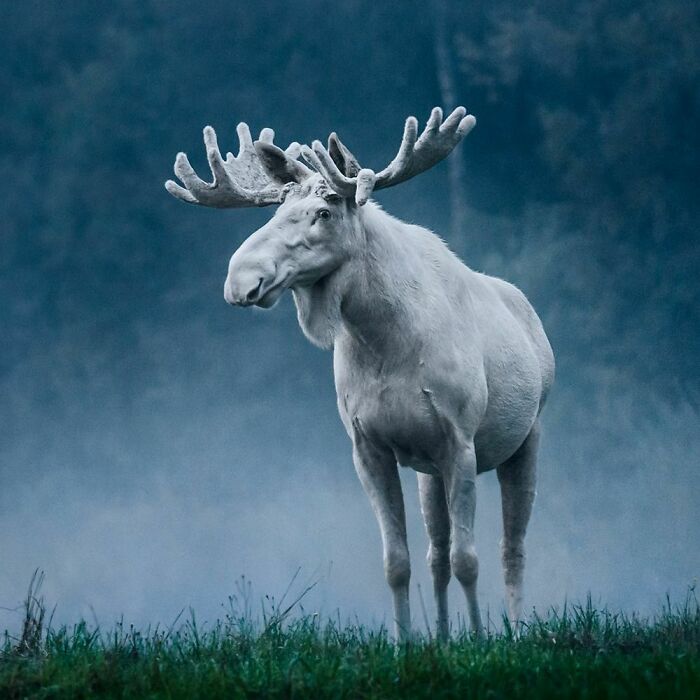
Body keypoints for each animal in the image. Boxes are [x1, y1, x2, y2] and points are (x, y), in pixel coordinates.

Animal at [167, 106, 556, 644]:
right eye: (274, 212)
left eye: (325, 211)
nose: (240, 280)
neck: (382, 338)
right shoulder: (369, 447)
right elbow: (398, 561)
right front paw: (407, 642)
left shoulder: (460, 440)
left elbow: (469, 558)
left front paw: (480, 640)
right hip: (429, 472)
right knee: (436, 554)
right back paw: (442, 636)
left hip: (527, 437)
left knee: (510, 547)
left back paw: (516, 632)